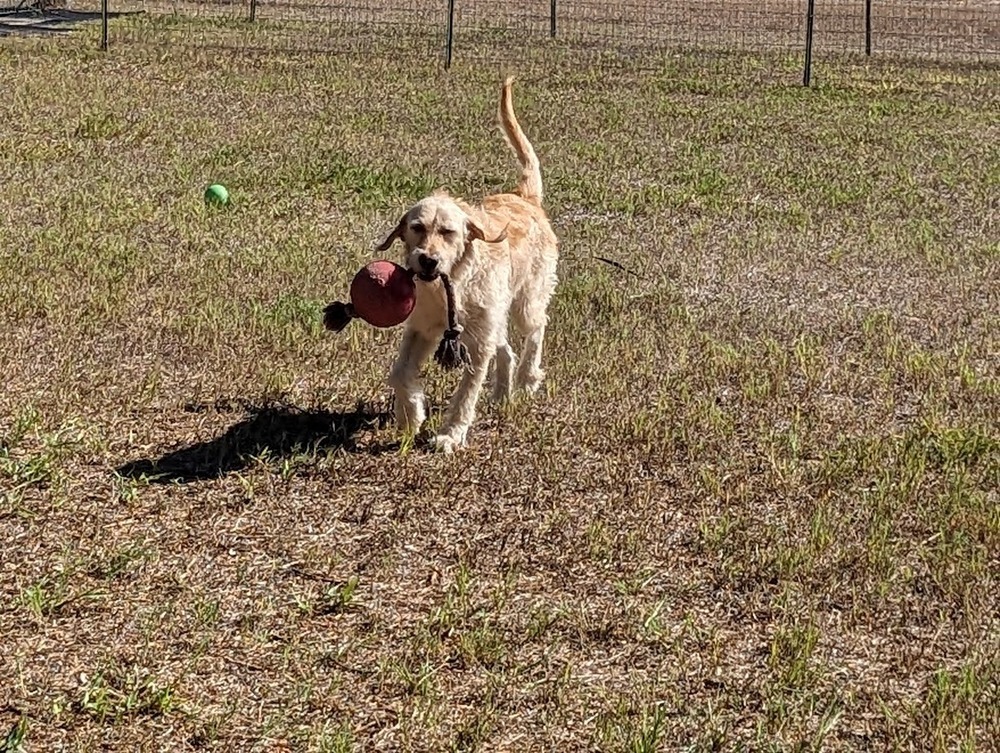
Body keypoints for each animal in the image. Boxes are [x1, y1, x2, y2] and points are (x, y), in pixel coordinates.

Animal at [376, 76, 560, 452]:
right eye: (417, 228)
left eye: (448, 231)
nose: (428, 260)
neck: (452, 285)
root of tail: (525, 198)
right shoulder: (421, 329)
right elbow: (399, 373)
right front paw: (410, 415)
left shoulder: (475, 345)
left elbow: (466, 393)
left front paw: (450, 434)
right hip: (495, 318)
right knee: (506, 351)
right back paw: (503, 392)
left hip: (526, 302)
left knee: (536, 330)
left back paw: (527, 378)